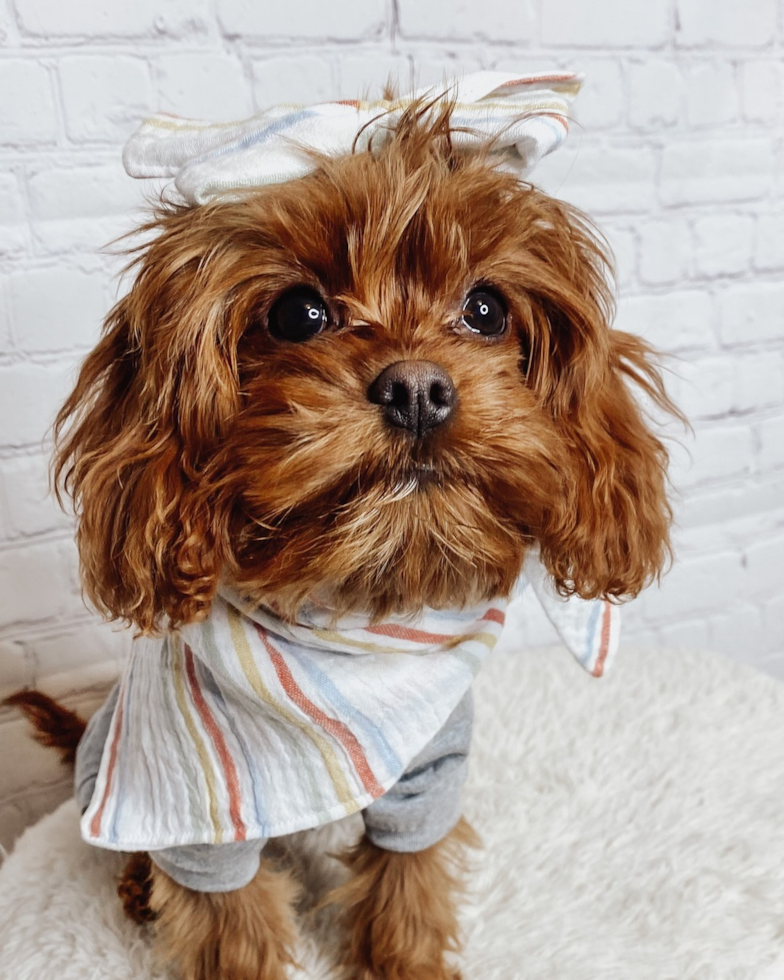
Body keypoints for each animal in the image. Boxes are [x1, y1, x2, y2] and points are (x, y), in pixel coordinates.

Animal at [9, 76, 676, 980]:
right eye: (298, 314)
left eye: (485, 308)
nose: (418, 388)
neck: (353, 616)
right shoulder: (193, 814)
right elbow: (228, 928)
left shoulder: (429, 775)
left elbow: (407, 883)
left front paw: (408, 962)